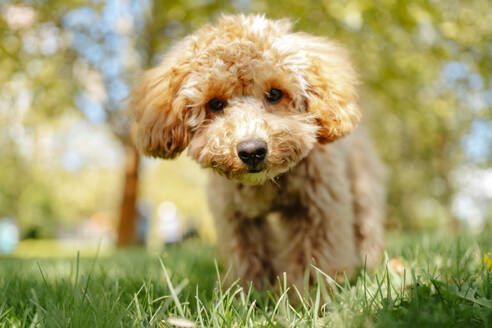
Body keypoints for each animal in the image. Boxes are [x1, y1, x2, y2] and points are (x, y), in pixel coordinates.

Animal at [133, 13, 386, 290]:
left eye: (275, 93)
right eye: (215, 103)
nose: (252, 150)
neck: (267, 184)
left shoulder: (318, 205)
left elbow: (314, 256)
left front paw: (308, 295)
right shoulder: (236, 215)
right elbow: (249, 255)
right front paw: (251, 291)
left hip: (361, 186)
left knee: (367, 228)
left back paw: (371, 267)